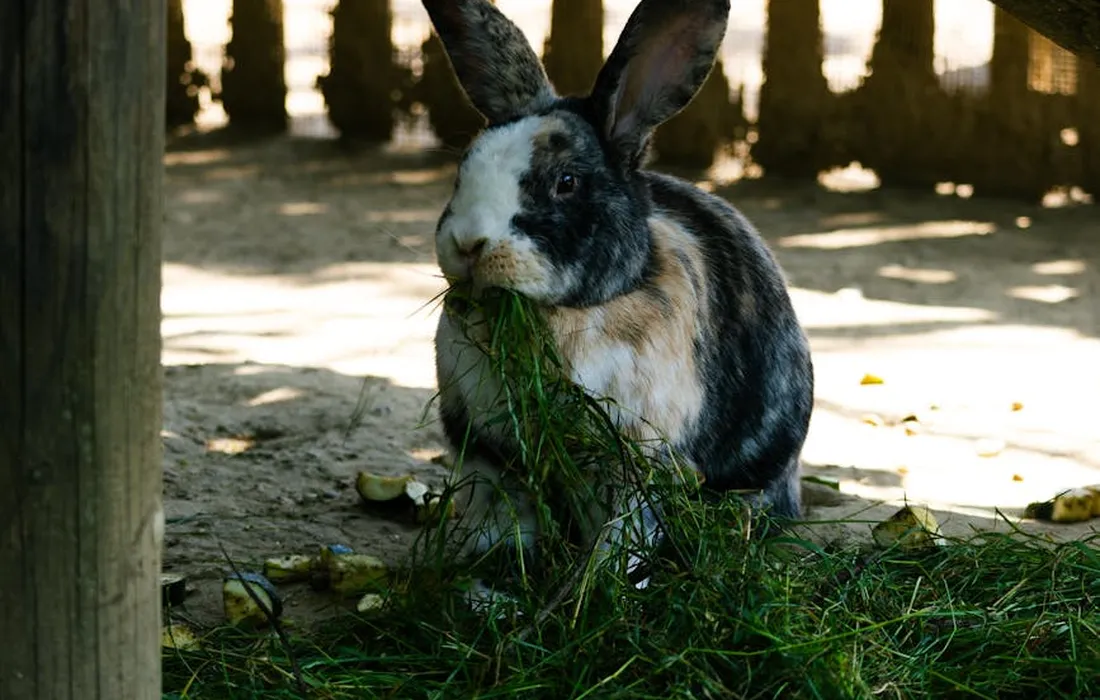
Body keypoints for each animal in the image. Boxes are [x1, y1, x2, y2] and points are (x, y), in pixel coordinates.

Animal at [424, 0, 814, 600]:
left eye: (565, 182)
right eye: (465, 165)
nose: (469, 244)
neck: (567, 316)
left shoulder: (638, 461)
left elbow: (626, 531)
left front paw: (596, 591)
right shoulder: (488, 455)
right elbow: (505, 519)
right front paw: (486, 580)